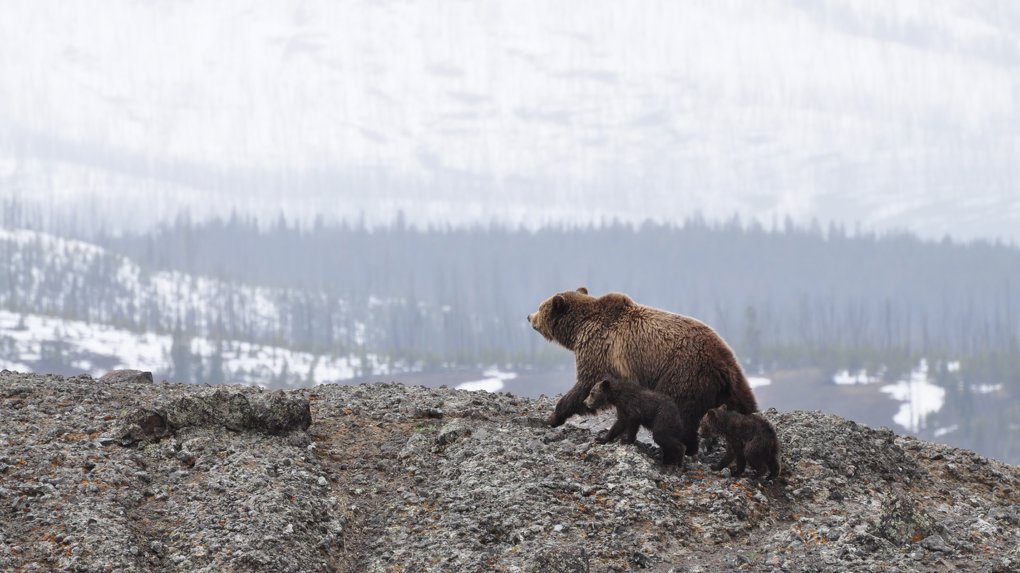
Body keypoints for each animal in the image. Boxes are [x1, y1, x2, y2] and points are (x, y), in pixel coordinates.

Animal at [526, 285, 758, 454]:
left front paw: (553, 417)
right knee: (744, 404)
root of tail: (722, 362)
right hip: (732, 382)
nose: (529, 316)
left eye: (540, 306)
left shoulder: (599, 349)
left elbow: (585, 385)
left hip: (683, 373)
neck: (578, 330)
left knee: (680, 412)